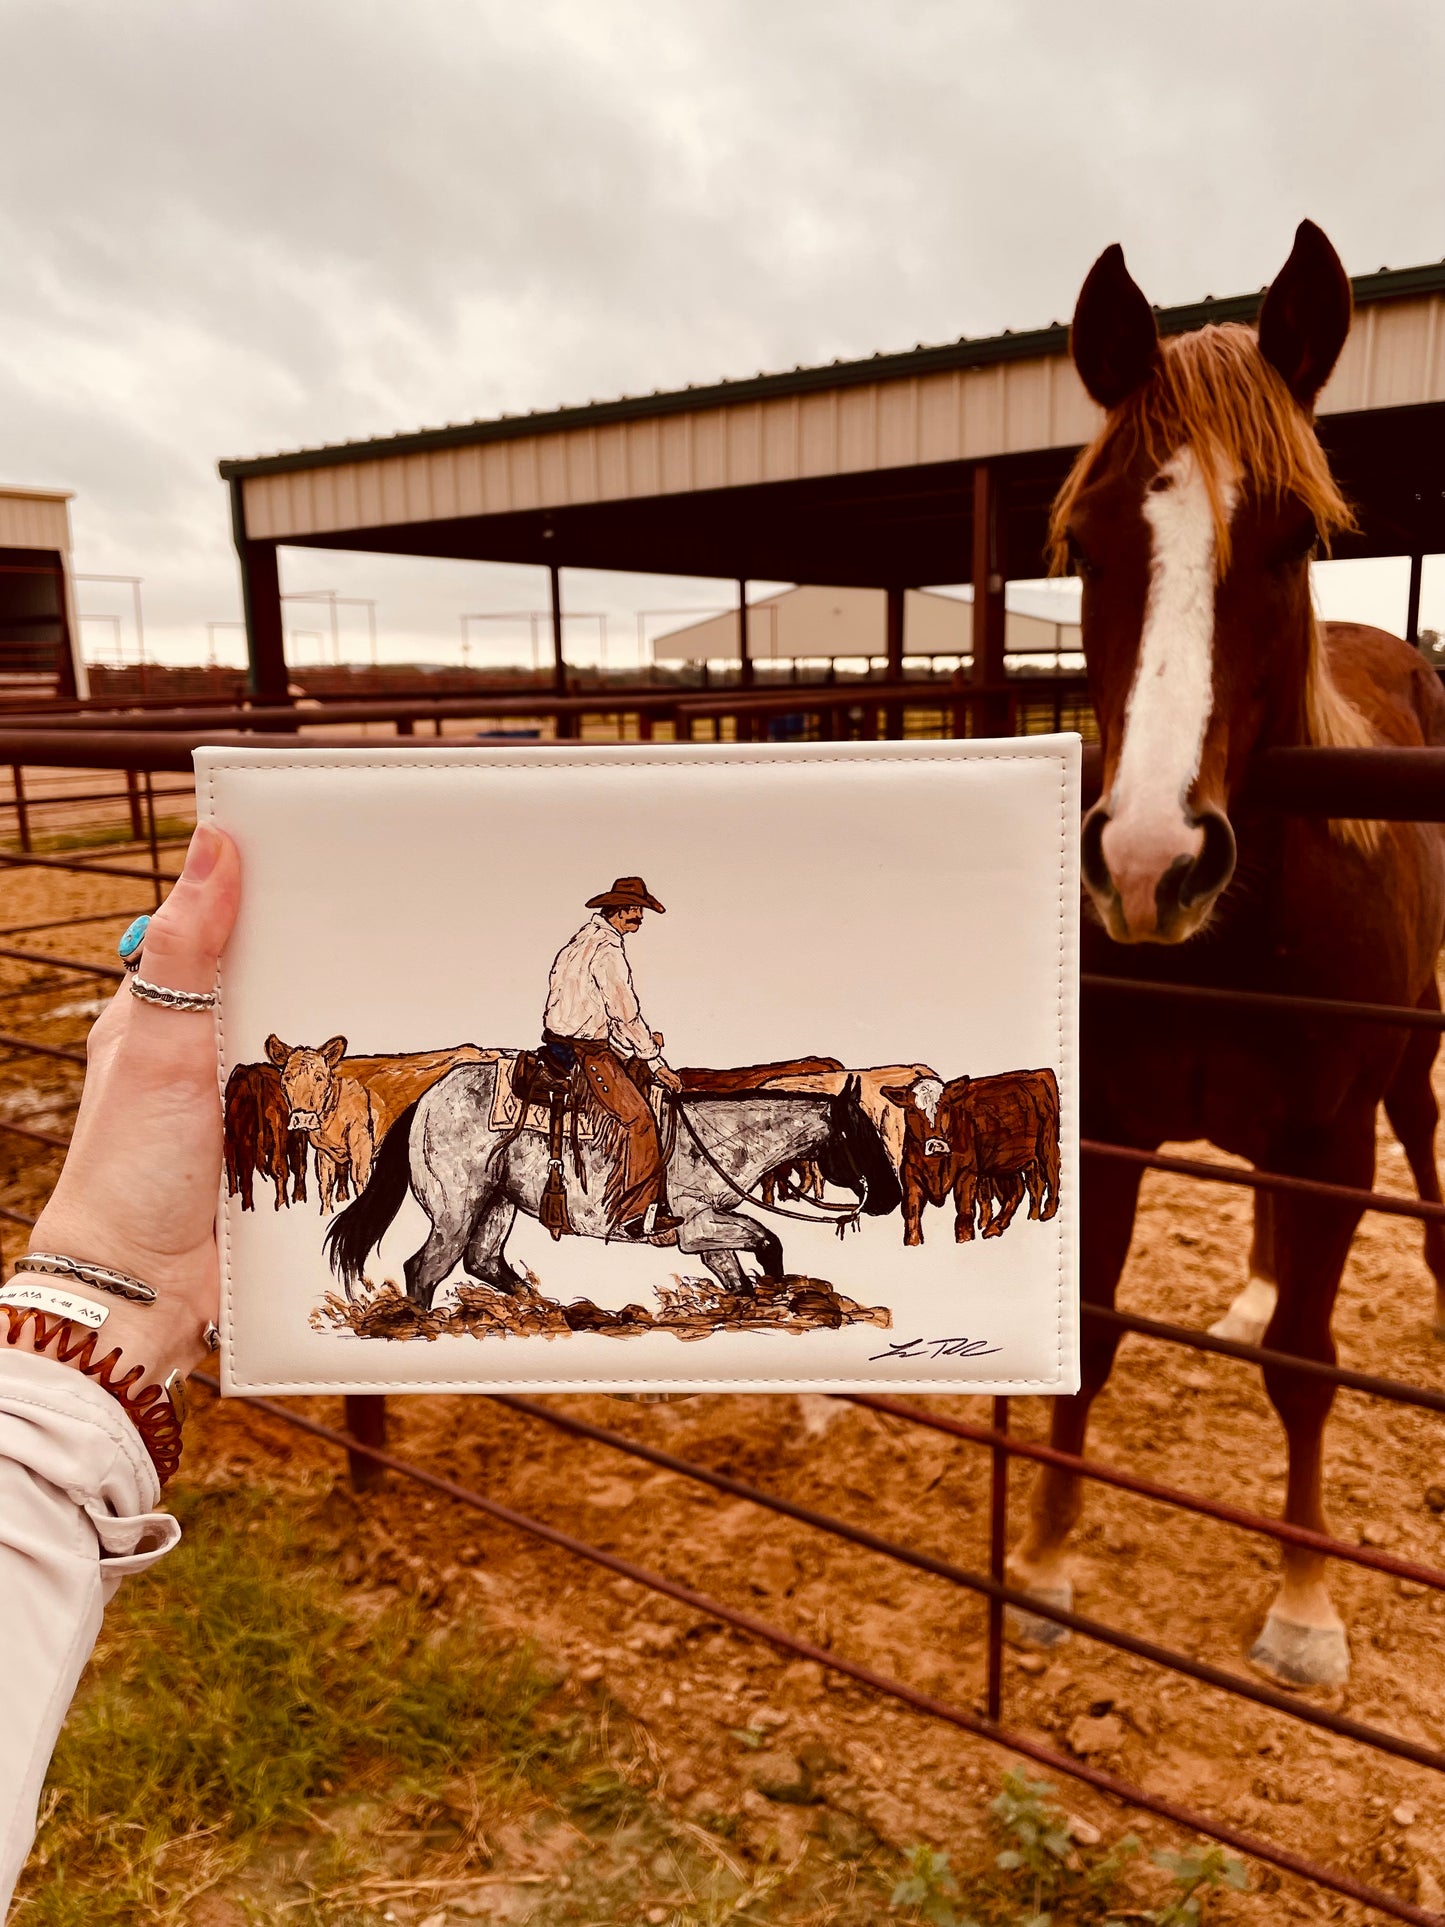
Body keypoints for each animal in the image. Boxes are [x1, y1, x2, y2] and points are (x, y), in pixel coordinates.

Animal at [1009, 225, 1445, 1688]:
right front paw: (1044, 1560)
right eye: (1082, 543)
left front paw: (1305, 1604)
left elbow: (1309, 1372)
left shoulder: (1331, 1142)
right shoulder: (1107, 1130)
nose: (1150, 862)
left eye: (1296, 538)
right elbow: (1089, 1334)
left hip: (1402, 1074)